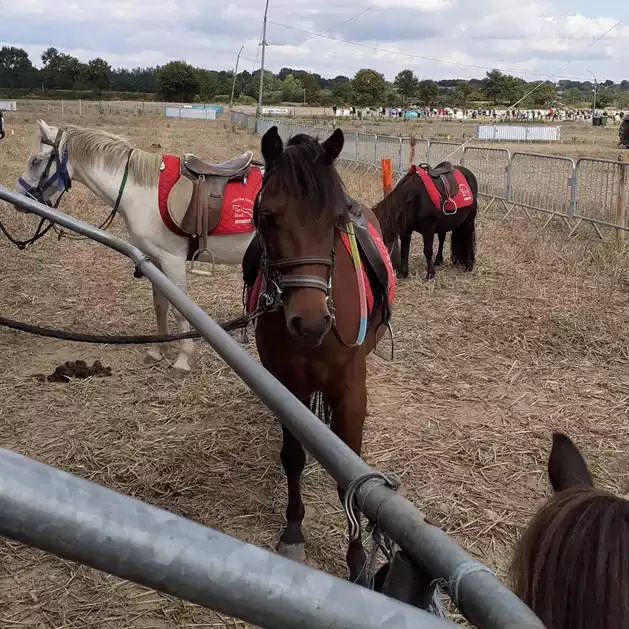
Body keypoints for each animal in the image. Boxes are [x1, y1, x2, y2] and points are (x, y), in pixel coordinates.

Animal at [12, 119, 258, 372]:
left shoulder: (172, 260)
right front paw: (159, 351)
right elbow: (161, 306)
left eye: (35, 161)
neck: (139, 192)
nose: (21, 198)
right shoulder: (156, 261)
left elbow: (180, 311)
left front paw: (182, 360)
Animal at [240, 126, 392, 584]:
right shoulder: (287, 385)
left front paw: (357, 561)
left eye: (335, 220)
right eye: (267, 216)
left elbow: (351, 483)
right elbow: (293, 457)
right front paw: (293, 531)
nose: (309, 322)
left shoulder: (351, 392)